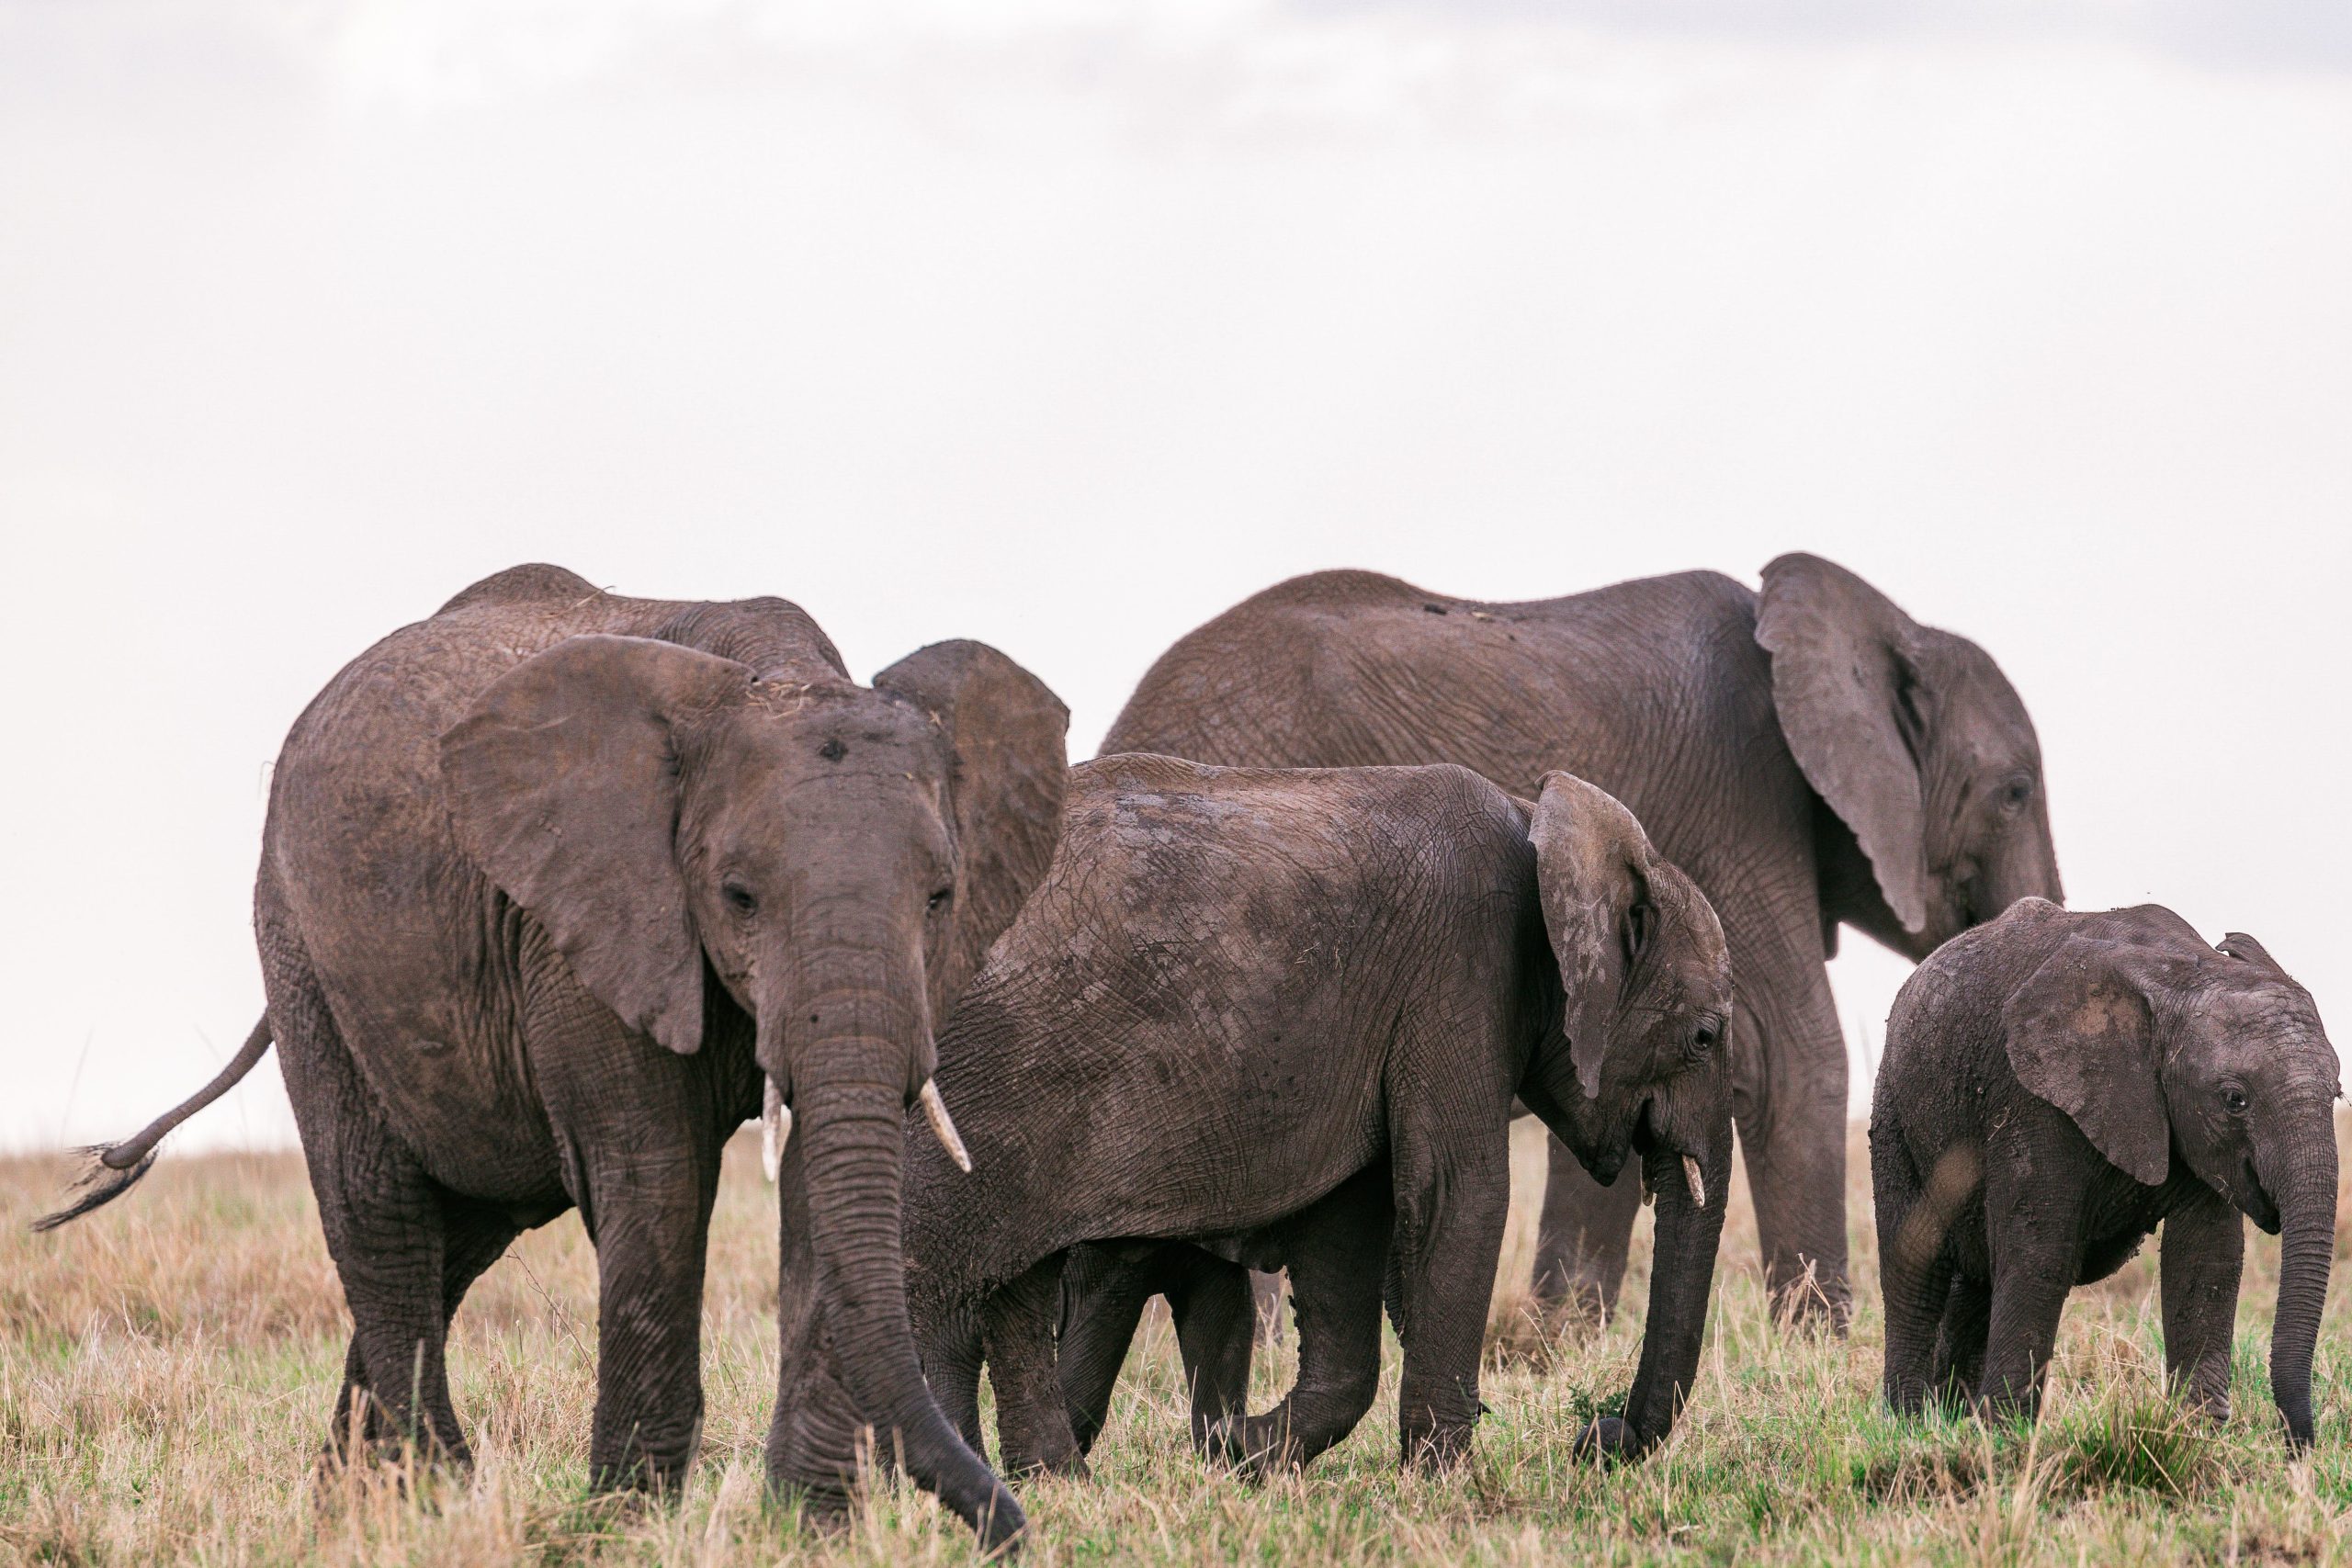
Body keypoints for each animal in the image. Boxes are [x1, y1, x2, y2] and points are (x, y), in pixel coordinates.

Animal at [37, 563, 1067, 1550]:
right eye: (737, 895)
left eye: (940, 897)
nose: (1011, 1530)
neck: (774, 677)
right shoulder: (581, 922)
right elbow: (653, 1180)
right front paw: (628, 1527)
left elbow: (821, 1186)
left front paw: (809, 1530)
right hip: (302, 948)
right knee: (383, 1220)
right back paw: (438, 1506)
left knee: (455, 1241)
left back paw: (350, 1512)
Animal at [902, 753, 1735, 1480]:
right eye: (1704, 1036)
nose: (1595, 1435)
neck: (1541, 824)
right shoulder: (1462, 970)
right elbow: (1457, 1192)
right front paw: (1445, 1485)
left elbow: (1348, 1221)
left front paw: (1242, 1451)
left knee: (1003, 1283)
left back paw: (1030, 1479)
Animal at [1097, 554, 2064, 1326]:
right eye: (2015, 791)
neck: (1882, 625)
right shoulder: (1742, 807)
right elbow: (1789, 1053)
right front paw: (1818, 1340)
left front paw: (1565, 1333)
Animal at [1871, 898, 2339, 1449]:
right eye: (2234, 1100)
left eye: (2337, 1091)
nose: (2297, 1447)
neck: (2185, 973)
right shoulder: (2032, 1097)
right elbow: (2041, 1253)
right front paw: (2007, 1440)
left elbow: (2206, 1262)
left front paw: (2196, 1438)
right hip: (1895, 1108)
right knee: (1915, 1267)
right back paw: (1909, 1426)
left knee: (1976, 1279)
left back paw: (1951, 1421)